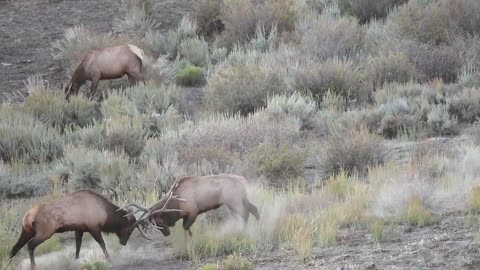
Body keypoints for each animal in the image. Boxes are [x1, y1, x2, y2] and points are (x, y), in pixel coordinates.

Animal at [7, 190, 148, 270]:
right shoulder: (93, 227)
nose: (123, 243)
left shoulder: (79, 229)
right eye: (129, 230)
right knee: (30, 245)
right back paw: (33, 266)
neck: (106, 215)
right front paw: (109, 260)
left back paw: (8, 264)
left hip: (26, 231)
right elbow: (102, 243)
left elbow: (78, 246)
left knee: (14, 248)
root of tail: (27, 216)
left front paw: (76, 261)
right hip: (44, 232)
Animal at [127, 174, 260, 237]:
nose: (166, 233)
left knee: (245, 214)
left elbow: (186, 229)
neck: (177, 203)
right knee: (254, 209)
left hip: (234, 201)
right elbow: (188, 230)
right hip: (243, 199)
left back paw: (244, 231)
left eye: (159, 221)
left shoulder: (193, 212)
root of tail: (243, 181)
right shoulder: (187, 216)